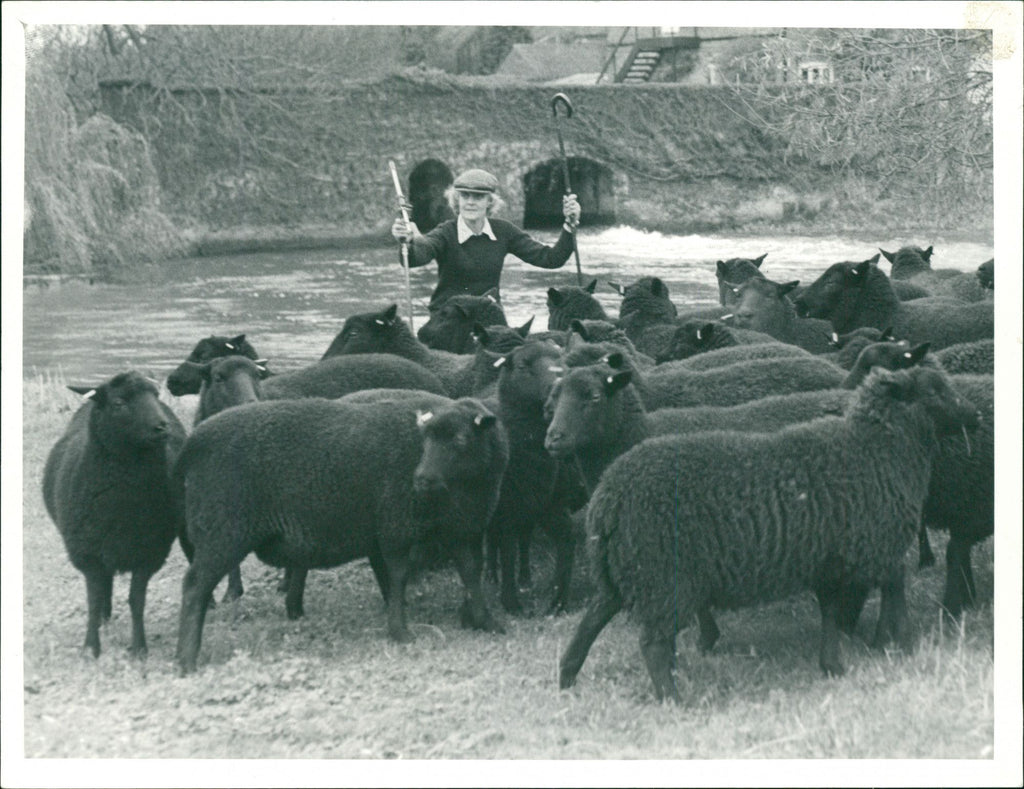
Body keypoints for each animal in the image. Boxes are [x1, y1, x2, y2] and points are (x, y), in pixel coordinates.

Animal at [42, 371, 187, 657]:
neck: (122, 504)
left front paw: (139, 647)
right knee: (104, 587)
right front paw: (91, 648)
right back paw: (104, 620)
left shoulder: (149, 552)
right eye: (119, 403)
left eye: (155, 395)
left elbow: (136, 600)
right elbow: (93, 600)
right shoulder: (87, 553)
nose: (162, 427)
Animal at [174, 395, 509, 674]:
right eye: (424, 440)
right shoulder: (395, 528)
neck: (458, 492)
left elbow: (471, 573)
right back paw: (187, 659)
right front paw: (401, 632)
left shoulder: (464, 530)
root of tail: (193, 442)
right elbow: (398, 578)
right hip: (223, 530)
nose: (421, 479)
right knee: (194, 586)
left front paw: (487, 622)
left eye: (461, 438)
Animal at [558, 365, 979, 702]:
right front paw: (903, 646)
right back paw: (673, 699)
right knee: (652, 644)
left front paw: (833, 665)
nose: (974, 413)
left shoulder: (828, 561)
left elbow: (831, 613)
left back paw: (566, 678)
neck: (879, 449)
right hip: (662, 576)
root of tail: (609, 498)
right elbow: (894, 593)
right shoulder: (877, 548)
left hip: (626, 572)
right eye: (935, 390)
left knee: (591, 621)